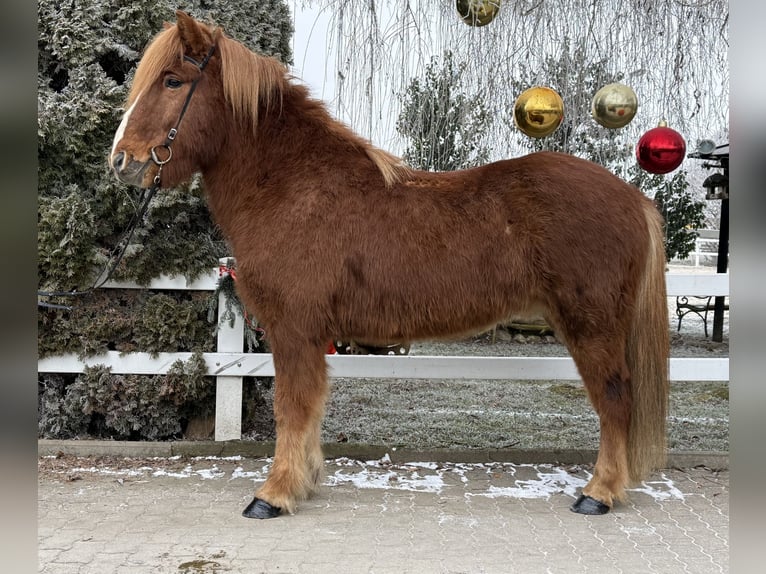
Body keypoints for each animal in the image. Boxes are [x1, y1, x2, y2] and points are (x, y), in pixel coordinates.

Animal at [110, 11, 669, 519]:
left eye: (172, 80)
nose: (122, 161)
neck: (294, 186)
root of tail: (632, 198)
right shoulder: (308, 335)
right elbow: (309, 408)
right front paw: (305, 481)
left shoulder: (294, 327)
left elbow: (291, 407)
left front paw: (274, 494)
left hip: (592, 325)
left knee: (615, 399)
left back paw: (598, 494)